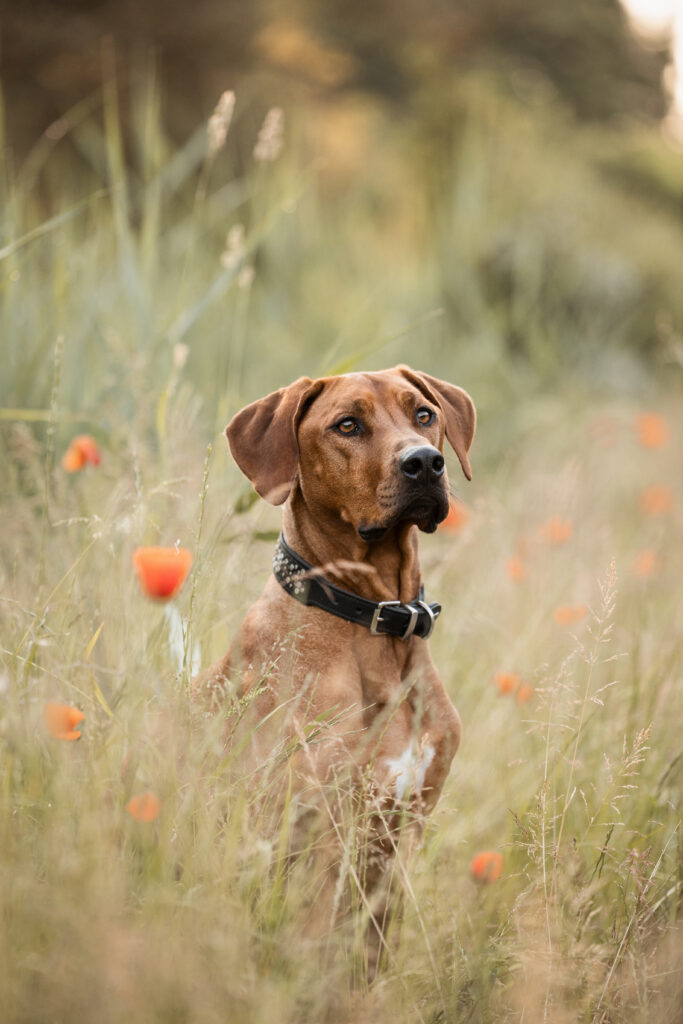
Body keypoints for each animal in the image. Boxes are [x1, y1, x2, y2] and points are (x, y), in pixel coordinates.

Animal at [193, 362, 475, 966]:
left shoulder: (403, 833)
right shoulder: (318, 836)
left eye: (424, 414)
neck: (378, 625)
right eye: (347, 425)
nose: (424, 462)